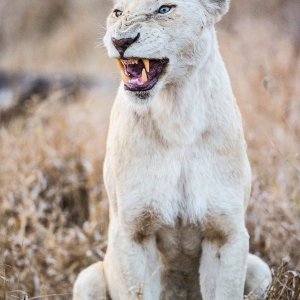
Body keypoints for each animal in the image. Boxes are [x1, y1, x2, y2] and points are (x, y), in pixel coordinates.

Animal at [73, 0, 272, 300]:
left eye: (165, 9)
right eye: (118, 12)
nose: (120, 41)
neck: (177, 115)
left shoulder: (226, 232)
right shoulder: (133, 232)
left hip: (261, 269)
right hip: (87, 277)